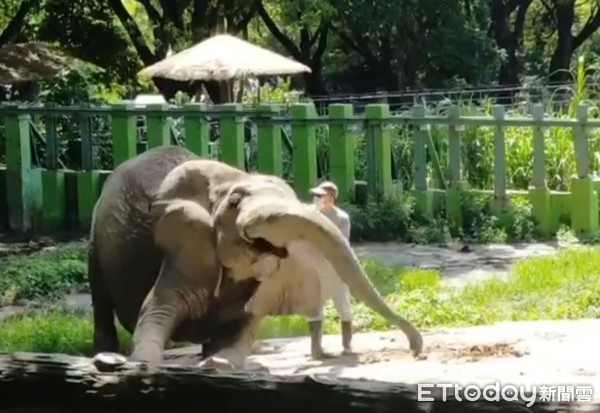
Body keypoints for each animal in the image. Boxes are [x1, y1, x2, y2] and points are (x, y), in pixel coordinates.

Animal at [90, 144, 426, 366]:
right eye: (235, 202)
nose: (415, 350)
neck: (231, 176)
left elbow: (242, 331)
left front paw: (218, 362)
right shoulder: (185, 249)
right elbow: (157, 311)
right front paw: (142, 363)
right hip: (95, 234)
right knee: (100, 297)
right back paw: (107, 352)